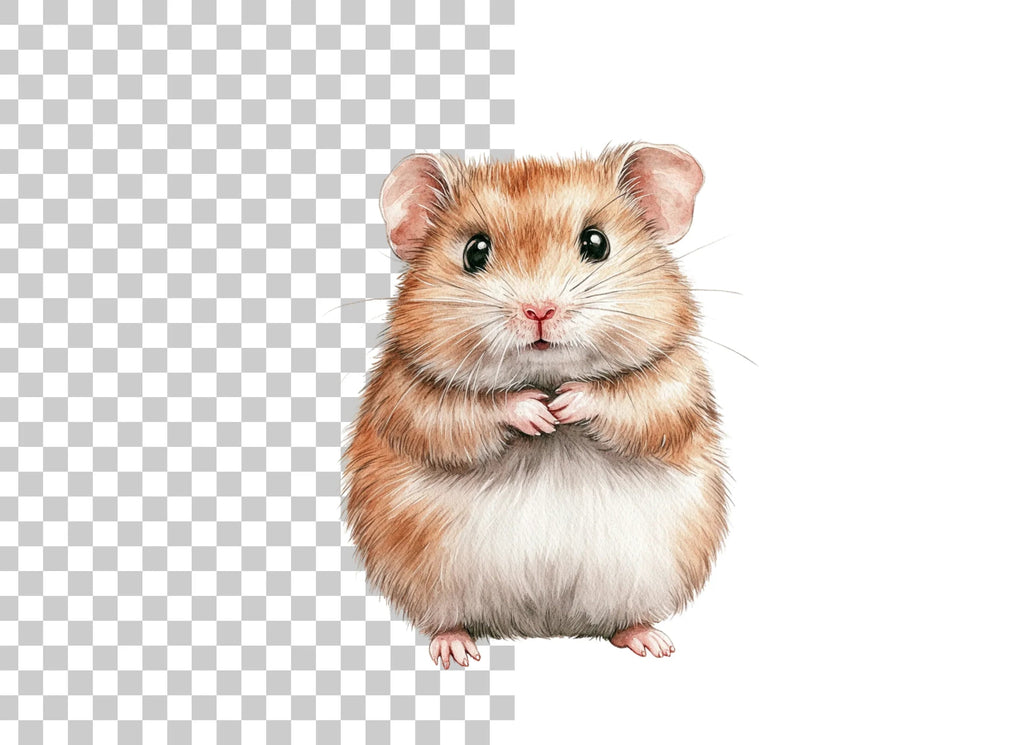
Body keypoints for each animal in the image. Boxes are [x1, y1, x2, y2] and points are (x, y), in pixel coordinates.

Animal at [344, 143, 728, 668]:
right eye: (475, 251)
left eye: (596, 243)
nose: (539, 311)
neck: (544, 375)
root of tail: (542, 627)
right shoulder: (407, 395)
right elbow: (463, 413)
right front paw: (538, 414)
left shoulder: (675, 382)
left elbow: (632, 401)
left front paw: (565, 406)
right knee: (446, 620)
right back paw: (455, 651)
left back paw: (653, 643)